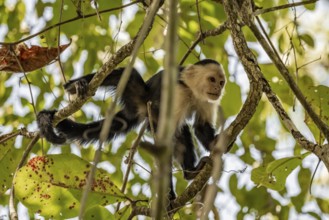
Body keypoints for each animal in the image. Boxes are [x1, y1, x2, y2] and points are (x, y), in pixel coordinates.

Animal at [36, 58, 226, 199]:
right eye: (212, 79)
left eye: (221, 82)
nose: (218, 88)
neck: (190, 90)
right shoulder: (177, 91)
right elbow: (164, 140)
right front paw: (168, 197)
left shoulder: (207, 99)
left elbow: (200, 127)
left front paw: (218, 143)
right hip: (138, 97)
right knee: (127, 75)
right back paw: (75, 86)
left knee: (181, 131)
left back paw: (190, 172)